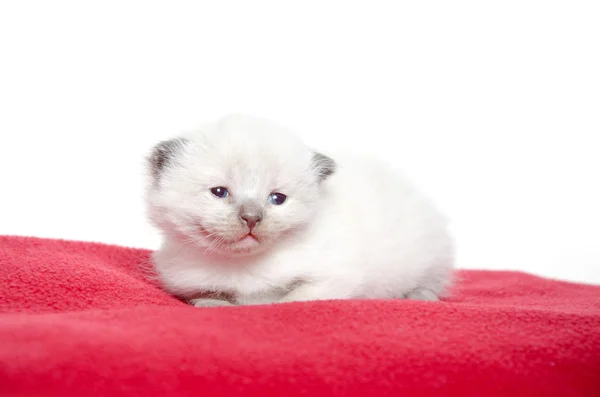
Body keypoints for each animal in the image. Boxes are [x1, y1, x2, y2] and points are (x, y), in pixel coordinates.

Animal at [146, 114, 454, 306]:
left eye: (277, 198)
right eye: (220, 192)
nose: (252, 218)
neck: (245, 265)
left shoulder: (336, 275)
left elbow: (291, 299)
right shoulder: (186, 280)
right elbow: (213, 297)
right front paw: (213, 303)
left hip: (430, 252)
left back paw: (418, 296)